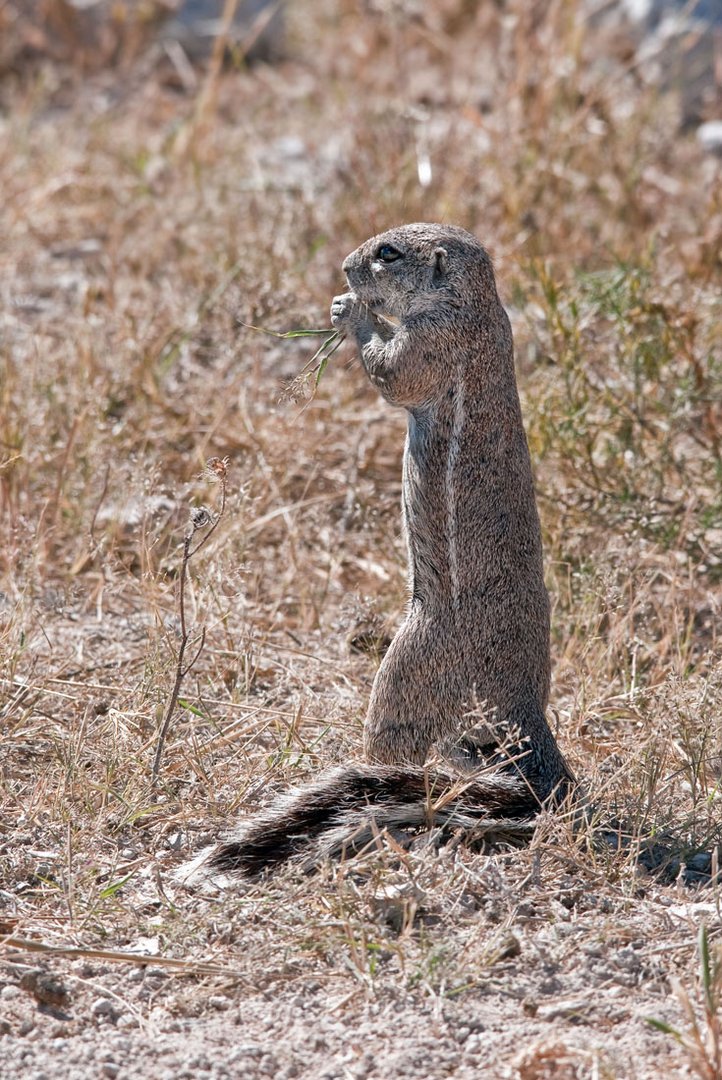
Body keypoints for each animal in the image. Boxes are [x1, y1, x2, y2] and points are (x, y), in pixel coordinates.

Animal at [184, 223, 574, 881]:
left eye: (386, 254)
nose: (344, 267)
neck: (473, 303)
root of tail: (526, 715)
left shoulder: (434, 345)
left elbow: (392, 372)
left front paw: (351, 313)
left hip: (408, 669)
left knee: (395, 745)